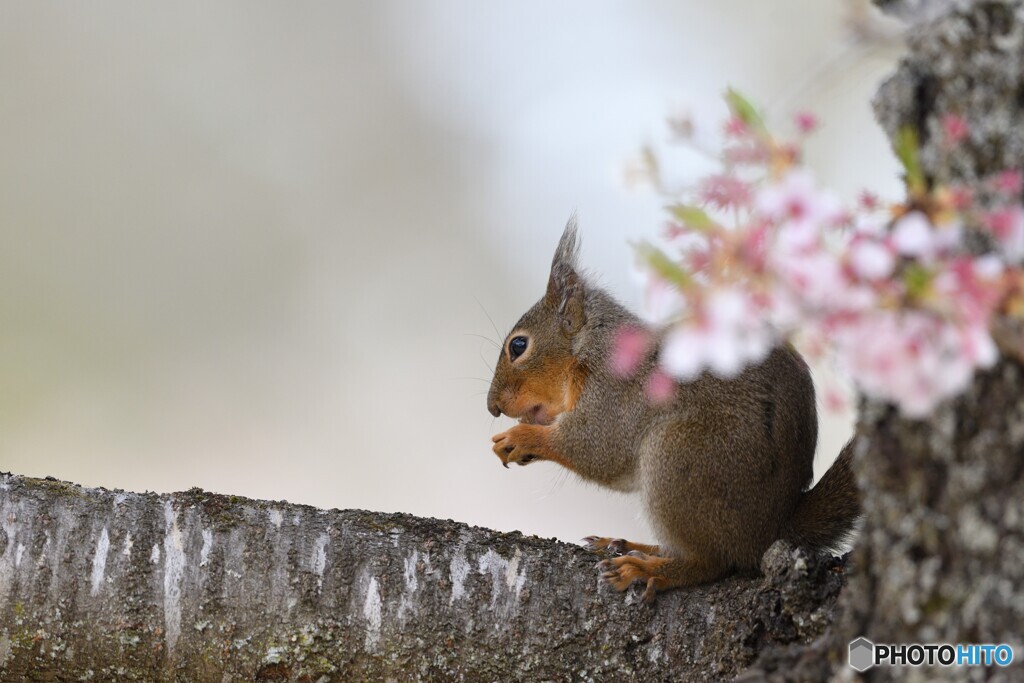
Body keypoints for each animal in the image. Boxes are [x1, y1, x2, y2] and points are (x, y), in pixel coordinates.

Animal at [487, 218, 864, 602]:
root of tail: (773, 529)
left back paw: (647, 569)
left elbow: (597, 450)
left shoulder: (614, 390)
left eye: (518, 346)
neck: (590, 347)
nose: (492, 407)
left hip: (681, 456)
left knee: (713, 562)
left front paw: (522, 437)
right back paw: (631, 546)